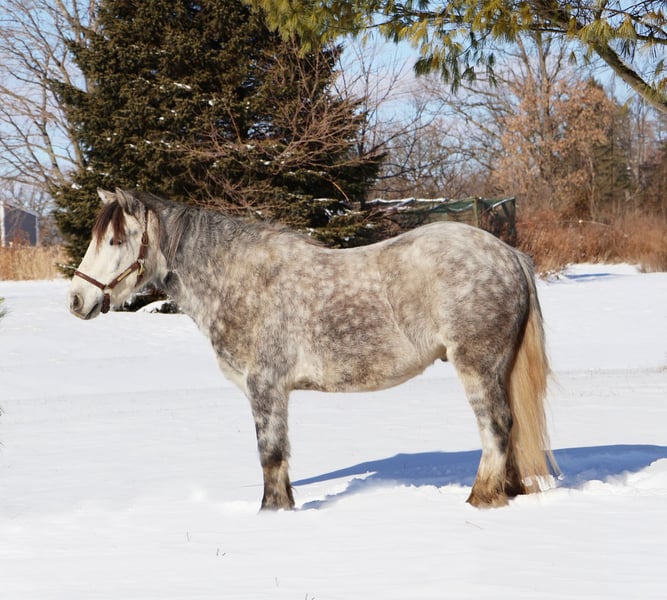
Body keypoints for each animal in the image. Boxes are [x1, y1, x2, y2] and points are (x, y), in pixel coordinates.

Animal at [69, 188, 558, 510]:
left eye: (115, 240)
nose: (76, 299)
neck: (238, 280)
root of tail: (509, 254)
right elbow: (280, 457)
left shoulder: (265, 388)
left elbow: (270, 455)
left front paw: (272, 513)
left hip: (477, 365)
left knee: (495, 427)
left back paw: (481, 499)